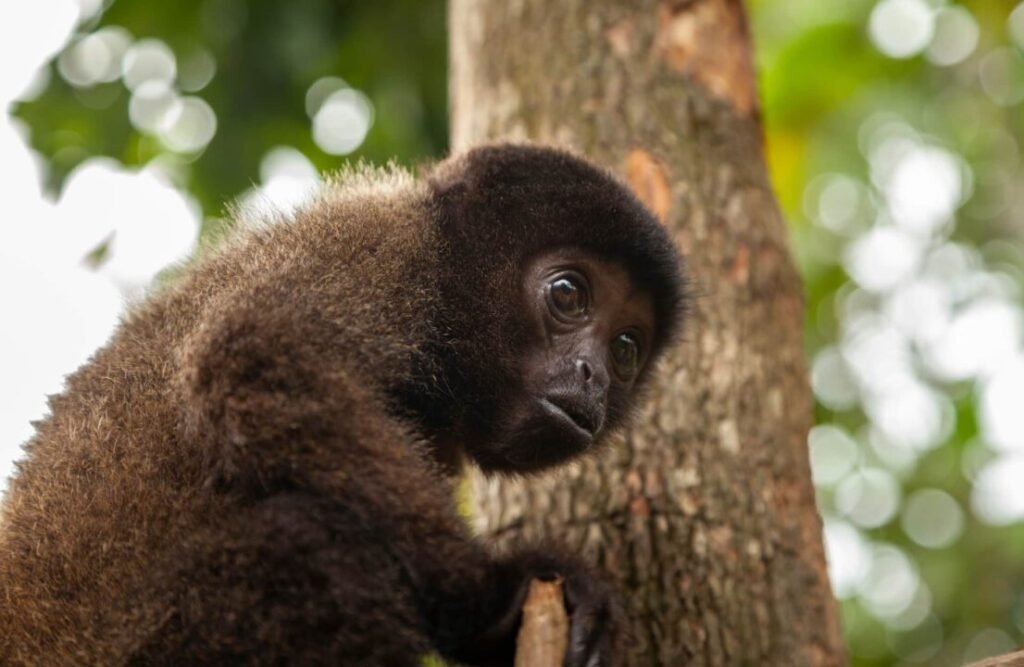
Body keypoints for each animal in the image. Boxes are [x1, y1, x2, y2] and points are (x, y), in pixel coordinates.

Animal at [4, 144, 688, 667]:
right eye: (568, 293)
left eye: (626, 347)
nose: (594, 375)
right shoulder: (381, 254)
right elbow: (255, 351)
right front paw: (491, 594)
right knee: (323, 547)